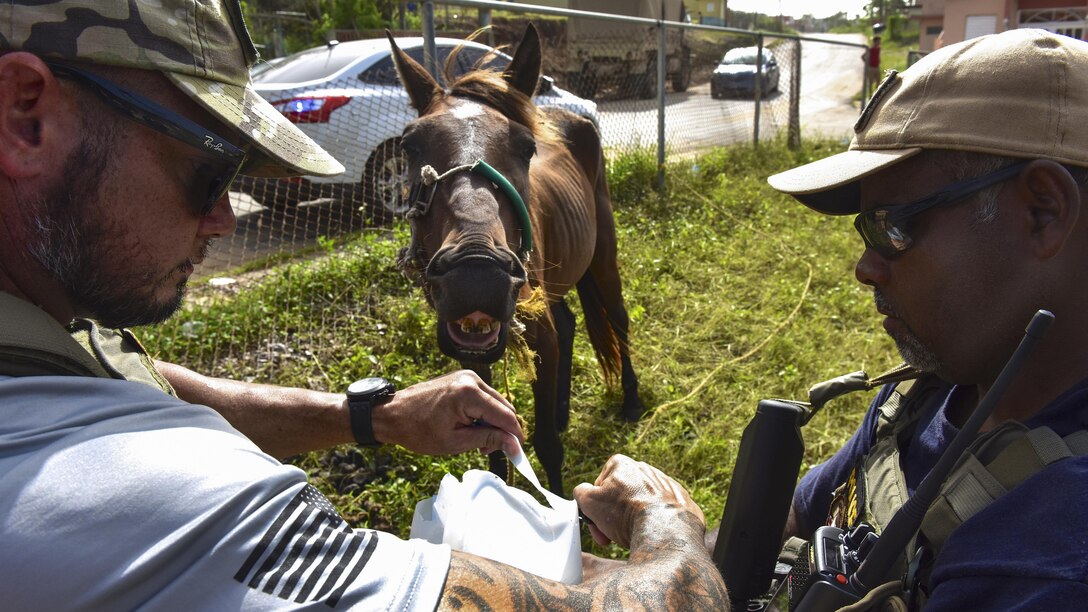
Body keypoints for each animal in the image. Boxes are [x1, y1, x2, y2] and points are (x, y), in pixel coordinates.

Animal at [391, 25, 644, 490]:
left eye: (527, 148)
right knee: (569, 325)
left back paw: (631, 400)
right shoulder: (475, 353)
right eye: (410, 145)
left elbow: (546, 445)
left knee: (618, 319)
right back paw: (562, 411)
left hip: (604, 257)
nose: (476, 276)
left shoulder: (538, 331)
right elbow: (493, 445)